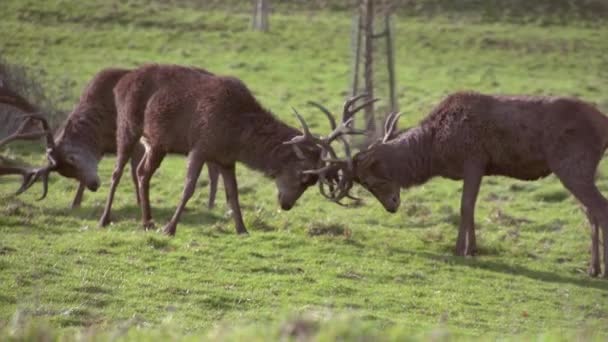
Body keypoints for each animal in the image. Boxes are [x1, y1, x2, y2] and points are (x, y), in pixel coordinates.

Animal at [12, 67, 221, 210]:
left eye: (72, 159)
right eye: (68, 173)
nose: (94, 185)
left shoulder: (138, 142)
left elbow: (135, 174)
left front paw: (140, 202)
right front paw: (75, 203)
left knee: (213, 168)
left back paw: (210, 204)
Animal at [98, 63, 370, 235]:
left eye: (313, 182)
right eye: (304, 176)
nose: (286, 205)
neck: (237, 137)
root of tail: (121, 83)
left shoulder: (226, 159)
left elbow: (233, 194)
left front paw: (242, 229)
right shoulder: (200, 146)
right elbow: (188, 189)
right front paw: (170, 228)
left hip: (157, 143)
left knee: (142, 172)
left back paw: (147, 222)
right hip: (128, 126)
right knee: (117, 172)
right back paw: (105, 219)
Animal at [308, 91, 608, 278]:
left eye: (372, 179)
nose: (392, 206)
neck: (436, 152)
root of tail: (604, 124)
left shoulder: (474, 159)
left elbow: (466, 206)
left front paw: (460, 250)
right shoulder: (477, 167)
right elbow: (470, 207)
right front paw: (472, 249)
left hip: (571, 164)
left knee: (600, 208)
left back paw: (600, 271)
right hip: (580, 169)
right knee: (590, 212)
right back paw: (593, 269)